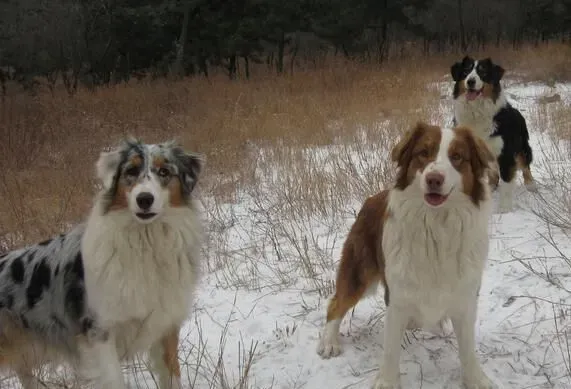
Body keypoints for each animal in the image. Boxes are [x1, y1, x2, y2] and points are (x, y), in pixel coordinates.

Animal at [0, 138, 204, 386]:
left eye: (164, 171)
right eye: (131, 171)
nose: (144, 199)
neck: (145, 241)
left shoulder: (165, 328)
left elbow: (172, 376)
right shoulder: (99, 334)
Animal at [318, 122, 496, 388]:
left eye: (457, 157)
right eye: (423, 153)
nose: (434, 179)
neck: (436, 227)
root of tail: (371, 198)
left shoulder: (464, 296)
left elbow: (467, 349)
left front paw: (475, 379)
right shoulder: (397, 298)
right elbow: (391, 349)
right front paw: (387, 382)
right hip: (360, 272)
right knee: (336, 303)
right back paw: (329, 342)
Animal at [452, 56, 536, 212]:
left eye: (483, 73)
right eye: (466, 72)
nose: (470, 81)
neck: (477, 110)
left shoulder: (506, 154)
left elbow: (506, 183)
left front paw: (505, 209)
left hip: (522, 147)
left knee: (525, 164)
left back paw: (531, 184)